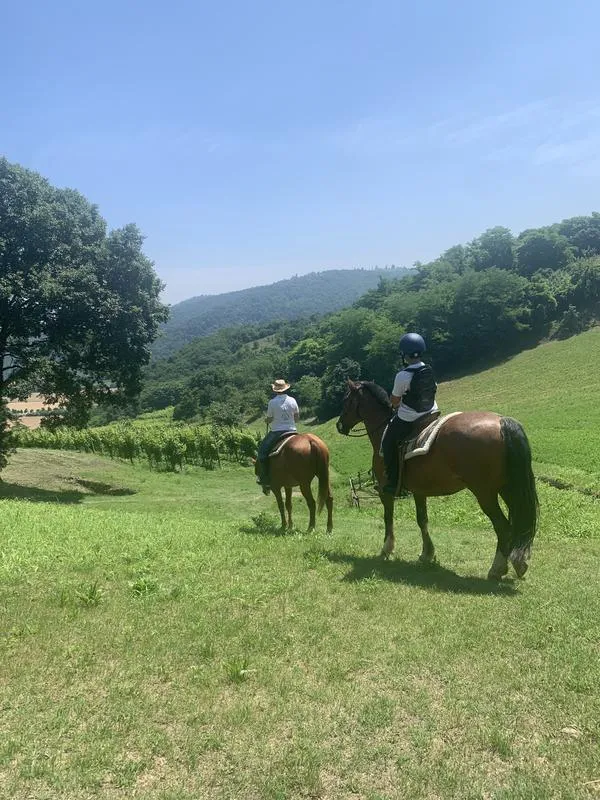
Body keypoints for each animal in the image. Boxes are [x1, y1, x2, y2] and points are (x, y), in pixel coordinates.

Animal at [336, 381, 539, 580]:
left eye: (346, 400)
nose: (339, 425)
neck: (383, 431)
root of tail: (502, 421)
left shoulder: (385, 492)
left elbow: (388, 518)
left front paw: (387, 549)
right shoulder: (419, 491)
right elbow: (422, 520)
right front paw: (427, 554)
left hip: (485, 493)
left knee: (503, 527)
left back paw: (497, 569)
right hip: (508, 489)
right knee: (518, 525)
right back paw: (519, 564)